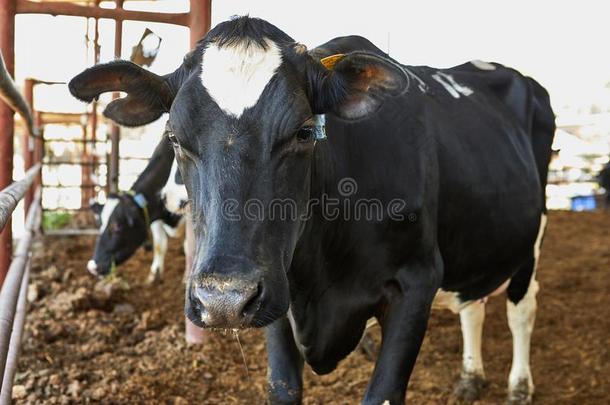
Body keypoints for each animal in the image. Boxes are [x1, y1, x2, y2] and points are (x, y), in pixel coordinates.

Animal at [87, 134, 183, 282]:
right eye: (99, 224)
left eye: (117, 226)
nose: (92, 267)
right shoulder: (153, 215)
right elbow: (159, 245)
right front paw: (154, 275)